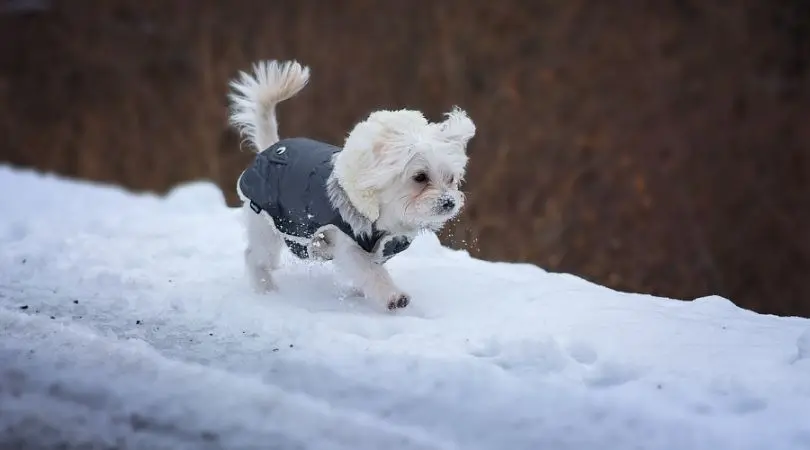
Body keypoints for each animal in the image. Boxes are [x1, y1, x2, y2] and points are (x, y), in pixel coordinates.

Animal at [227, 59, 474, 312]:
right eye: (420, 177)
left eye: (451, 179)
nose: (449, 202)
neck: (385, 215)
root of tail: (271, 147)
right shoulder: (350, 245)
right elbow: (371, 272)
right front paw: (393, 296)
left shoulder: (380, 248)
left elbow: (368, 273)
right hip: (266, 225)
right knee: (254, 256)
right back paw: (265, 288)